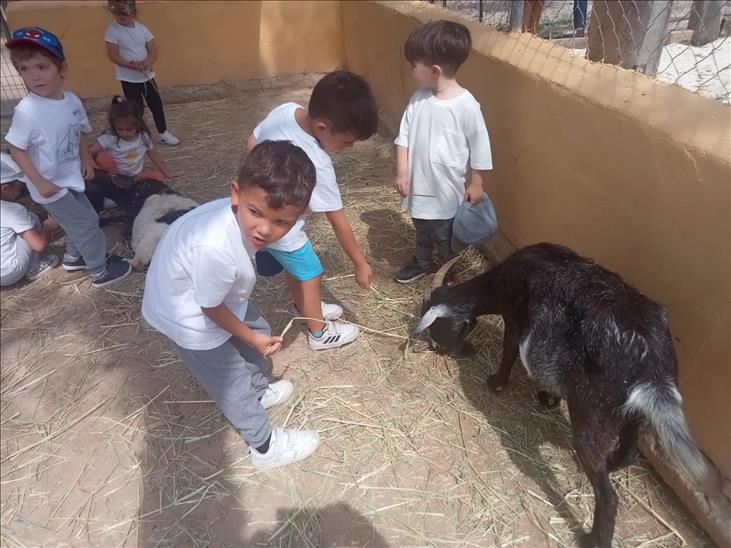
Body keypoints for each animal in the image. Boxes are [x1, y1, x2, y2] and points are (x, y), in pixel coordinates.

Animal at [416, 242, 708, 548]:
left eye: (436, 329)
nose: (443, 349)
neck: (499, 280)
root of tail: (651, 365)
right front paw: (547, 397)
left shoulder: (516, 320)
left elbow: (509, 352)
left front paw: (496, 383)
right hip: (632, 413)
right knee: (629, 453)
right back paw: (611, 465)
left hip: (592, 414)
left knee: (608, 497)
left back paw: (592, 538)